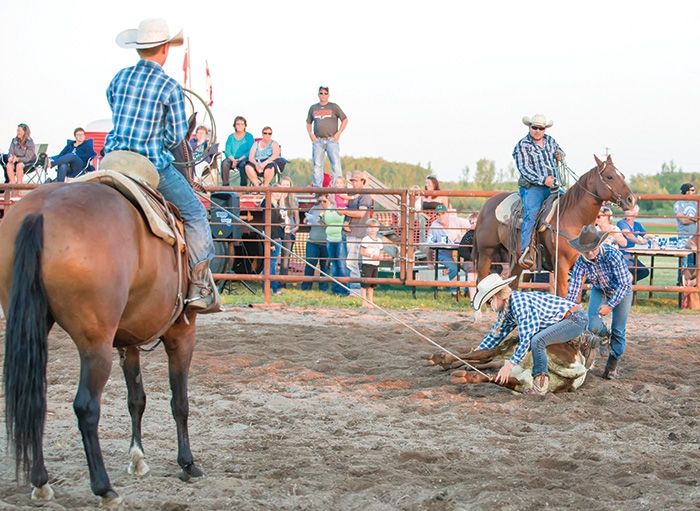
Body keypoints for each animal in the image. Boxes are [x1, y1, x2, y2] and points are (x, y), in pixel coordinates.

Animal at [0, 182, 202, 506]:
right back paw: (104, 487)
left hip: (33, 324)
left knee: (34, 400)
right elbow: (179, 401)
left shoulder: (128, 341)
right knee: (86, 407)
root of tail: (39, 212)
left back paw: (41, 483)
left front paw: (137, 459)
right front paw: (187, 463)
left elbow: (136, 399)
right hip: (95, 345)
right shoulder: (181, 333)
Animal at [474, 158, 636, 298]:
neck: (574, 218)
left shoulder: (581, 266)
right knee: (481, 280)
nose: (631, 200)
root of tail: (487, 205)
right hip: (486, 251)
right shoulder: (561, 264)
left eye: (622, 175)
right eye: (609, 176)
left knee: (511, 284)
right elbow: (562, 295)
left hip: (517, 259)